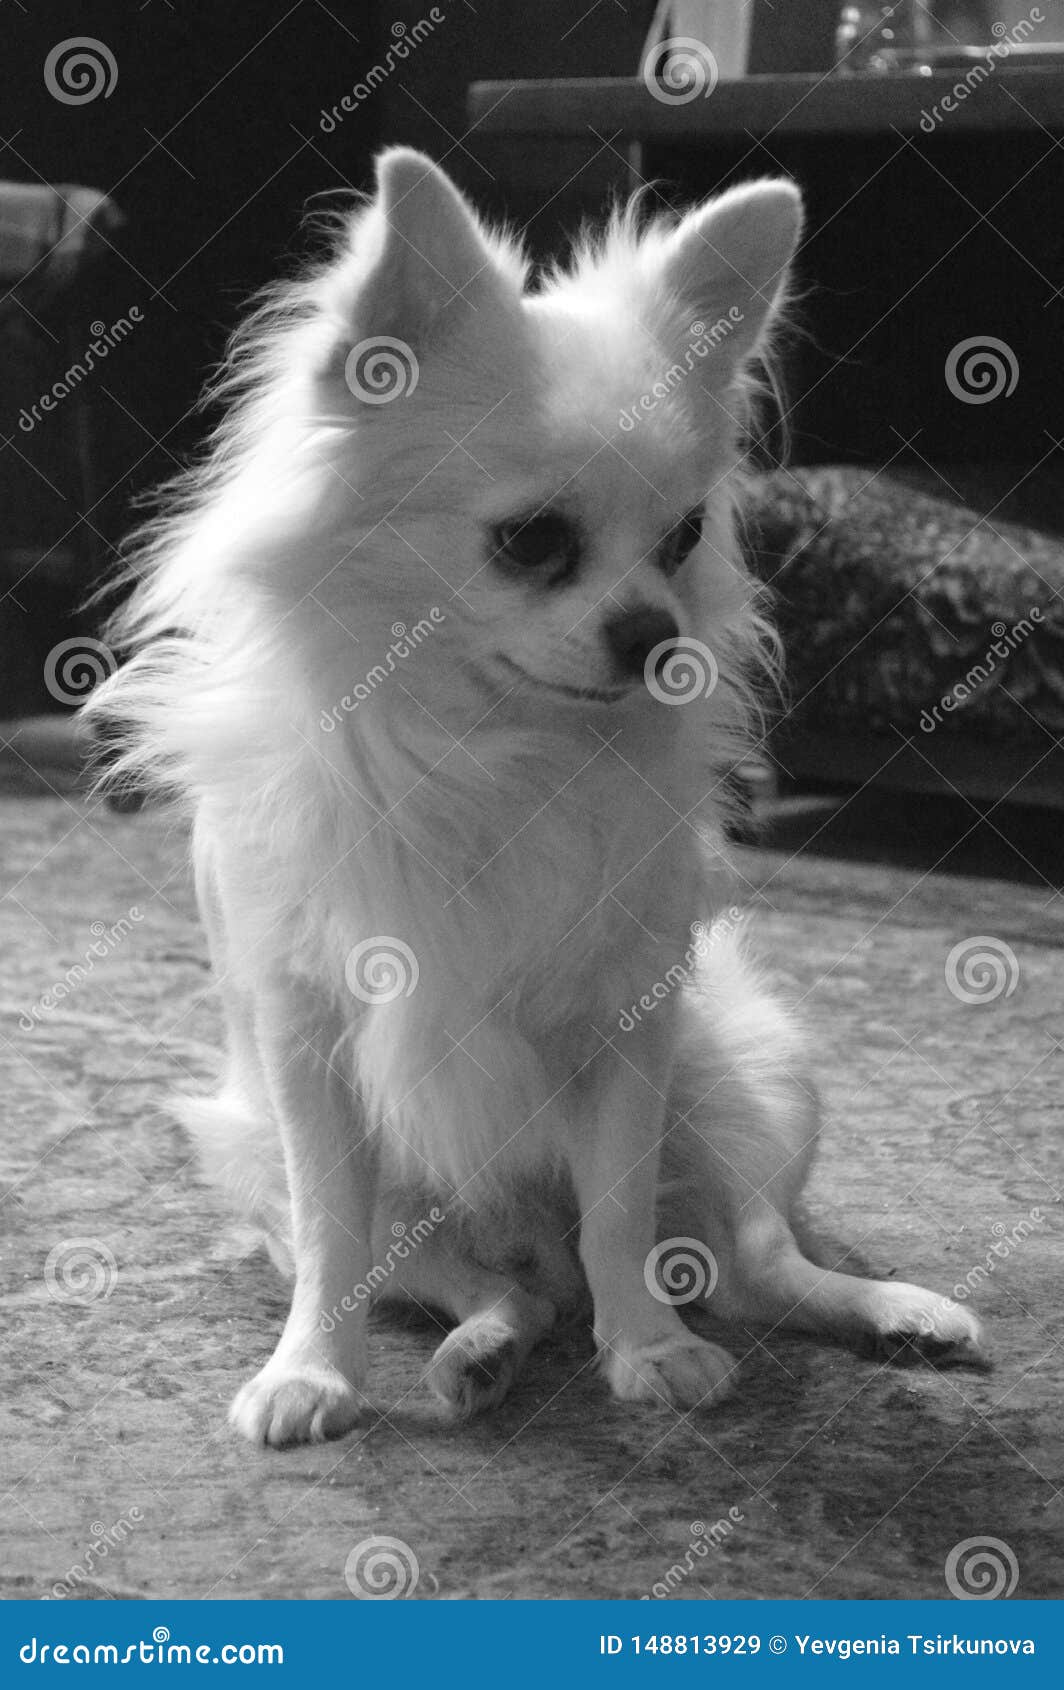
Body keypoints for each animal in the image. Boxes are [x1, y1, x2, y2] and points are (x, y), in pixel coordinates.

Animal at [91, 148, 986, 1439]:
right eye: (529, 540)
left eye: (683, 537)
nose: (655, 634)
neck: (494, 747)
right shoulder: (308, 1047)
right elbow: (332, 1234)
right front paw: (312, 1370)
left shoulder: (623, 1026)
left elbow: (616, 1208)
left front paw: (649, 1349)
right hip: (271, 1156)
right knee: (502, 1286)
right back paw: (482, 1349)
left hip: (751, 1084)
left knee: (748, 1262)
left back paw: (886, 1312)